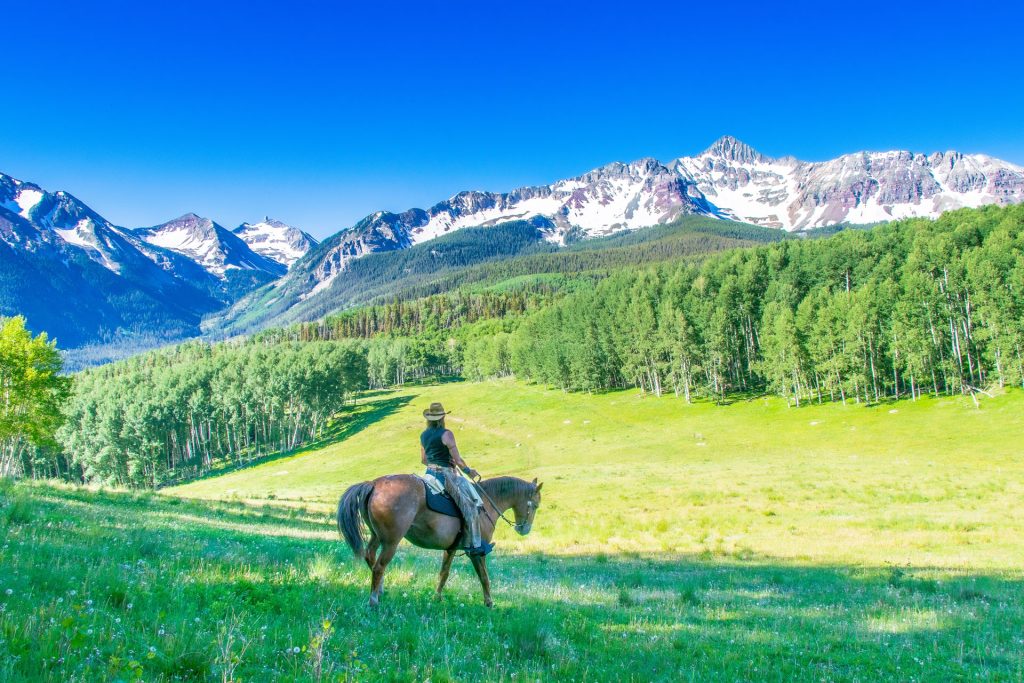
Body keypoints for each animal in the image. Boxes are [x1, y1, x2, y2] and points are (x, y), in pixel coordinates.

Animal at [337, 474, 543, 607]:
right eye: (535, 505)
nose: (524, 529)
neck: (484, 504)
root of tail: (374, 484)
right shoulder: (476, 552)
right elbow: (484, 577)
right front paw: (489, 603)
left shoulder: (450, 549)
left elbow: (444, 574)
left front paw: (437, 597)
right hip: (391, 542)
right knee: (379, 566)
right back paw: (373, 601)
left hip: (377, 536)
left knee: (370, 556)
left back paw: (380, 590)